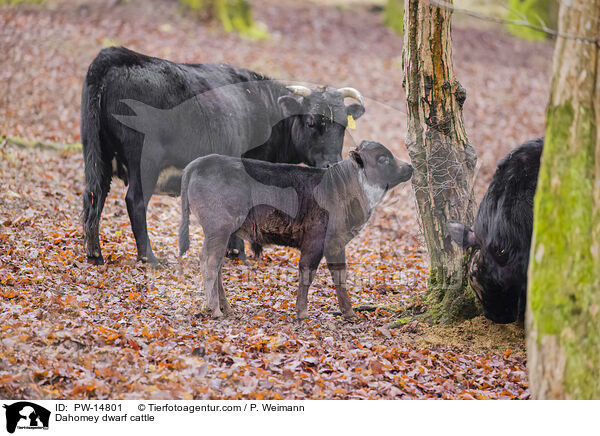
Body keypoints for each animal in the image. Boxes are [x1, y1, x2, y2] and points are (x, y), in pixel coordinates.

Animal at [81, 48, 366, 266]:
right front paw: (239, 251)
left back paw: (95, 254)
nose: (331, 163)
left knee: (94, 195)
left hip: (97, 155)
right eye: (310, 122)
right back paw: (148, 257)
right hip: (144, 161)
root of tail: (116, 56)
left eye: (343, 125)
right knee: (135, 200)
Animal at [177, 141, 412, 318]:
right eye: (382, 159)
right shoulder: (316, 240)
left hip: (223, 233)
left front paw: (349, 313)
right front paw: (302, 312)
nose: (409, 167)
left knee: (217, 265)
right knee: (209, 261)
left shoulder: (336, 244)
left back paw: (226, 308)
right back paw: (215, 310)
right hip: (218, 228)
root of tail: (200, 162)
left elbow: (339, 276)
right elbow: (308, 273)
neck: (341, 187)